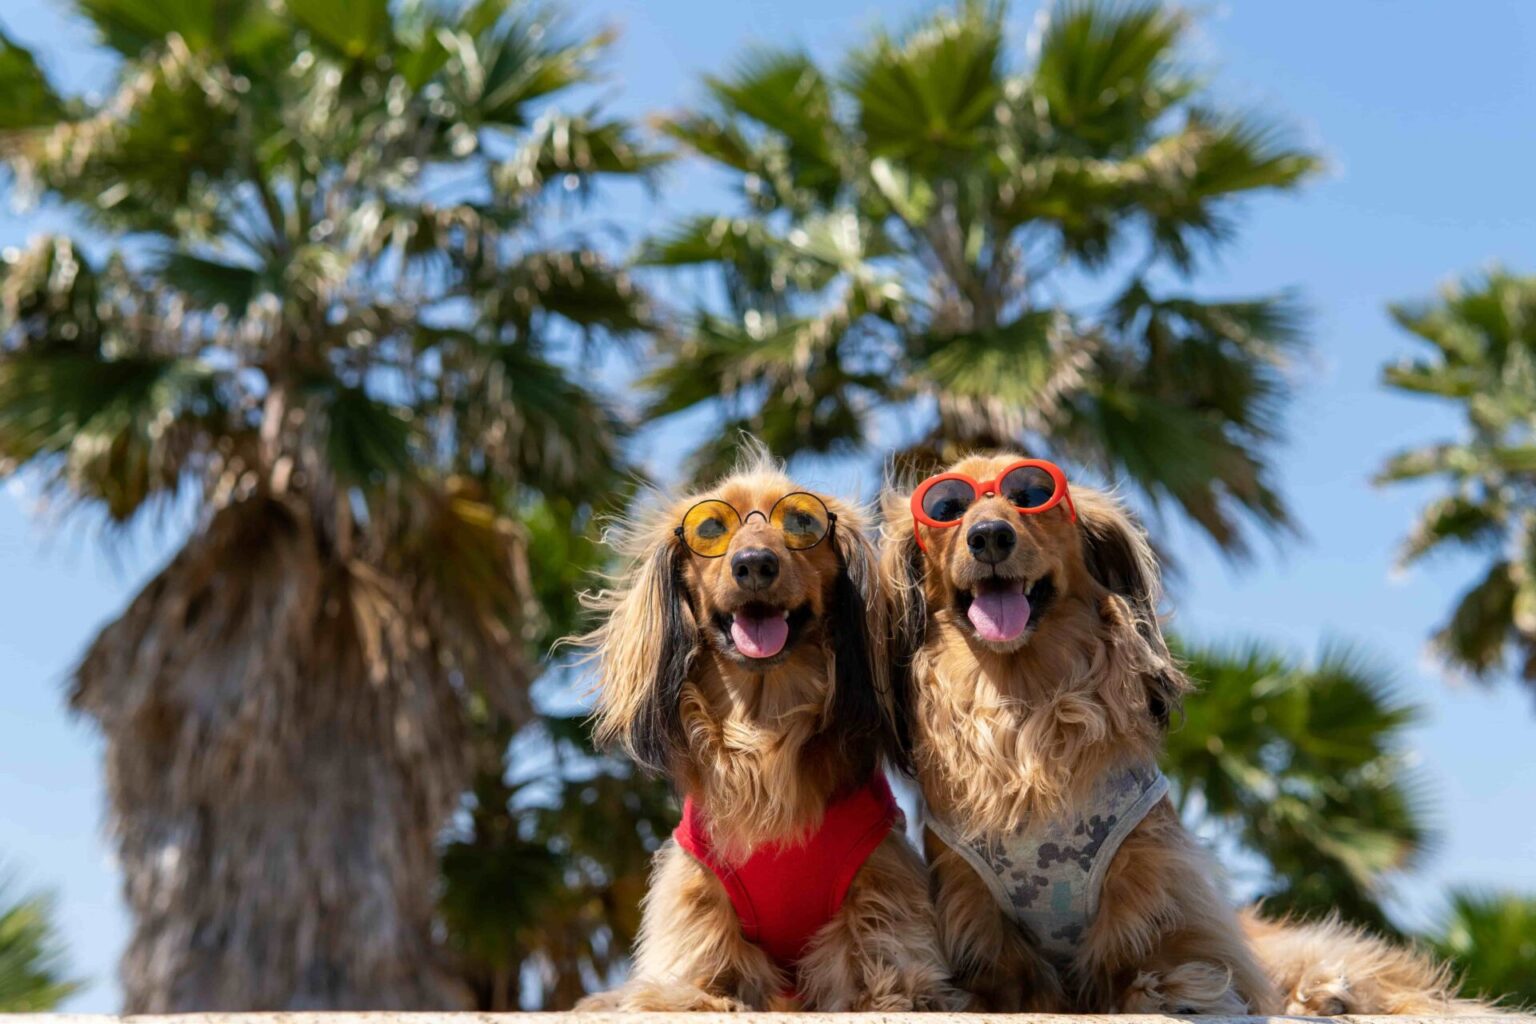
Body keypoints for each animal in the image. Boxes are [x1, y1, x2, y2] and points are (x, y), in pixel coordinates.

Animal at [577, 451, 958, 1013]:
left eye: (801, 521)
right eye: (711, 527)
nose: (754, 563)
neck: (763, 728)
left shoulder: (877, 878)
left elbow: (881, 963)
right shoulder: (699, 894)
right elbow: (696, 976)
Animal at [878, 457, 1271, 1019]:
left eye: (1032, 495)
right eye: (948, 508)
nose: (989, 535)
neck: (1023, 699)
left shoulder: (1150, 871)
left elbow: (1139, 953)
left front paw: (1171, 989)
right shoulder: (969, 896)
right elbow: (1005, 978)